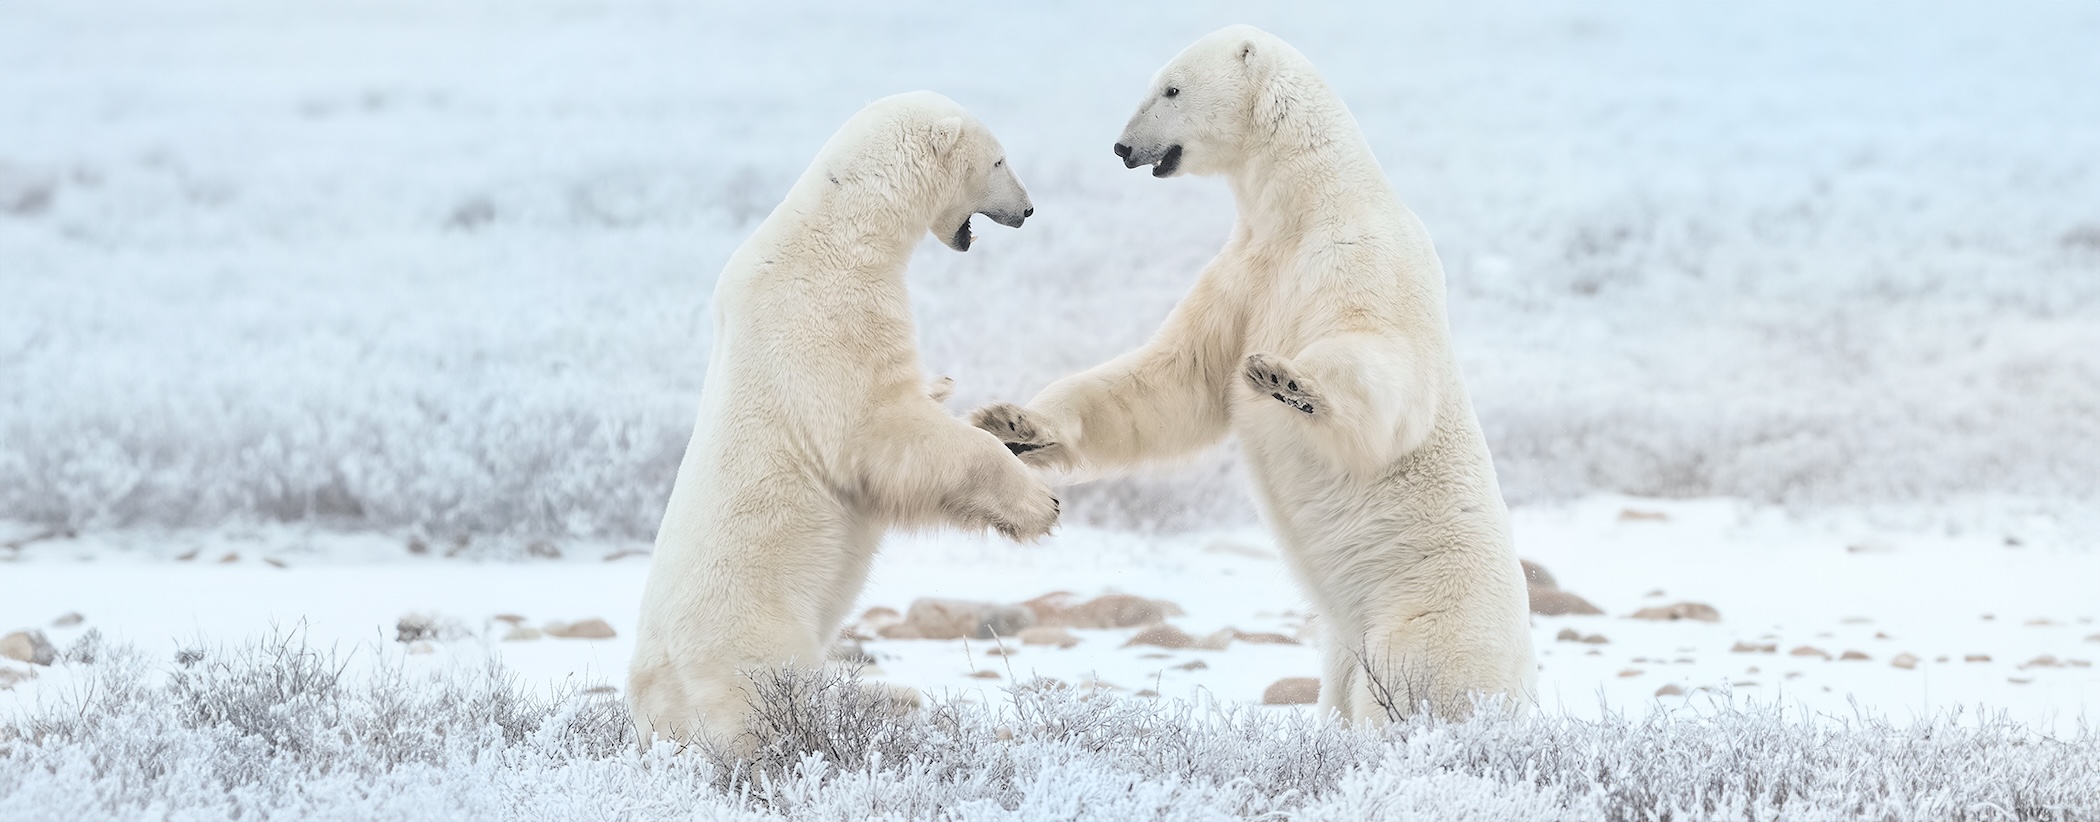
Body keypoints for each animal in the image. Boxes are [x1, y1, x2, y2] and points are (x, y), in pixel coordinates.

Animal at [629, 91, 1060, 752]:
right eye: (998, 160)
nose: (1029, 209)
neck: (840, 230)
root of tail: (651, 706)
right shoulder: (826, 316)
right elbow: (881, 432)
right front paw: (1040, 505)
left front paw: (1003, 422)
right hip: (750, 639)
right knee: (780, 705)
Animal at [971, 26, 1534, 722]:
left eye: (1171, 88)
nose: (1123, 147)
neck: (1309, 204)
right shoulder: (1246, 271)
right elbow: (1175, 377)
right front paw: (1012, 425)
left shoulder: (1366, 256)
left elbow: (1387, 366)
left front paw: (1287, 380)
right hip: (1344, 646)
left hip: (1428, 619)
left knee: (1410, 692)